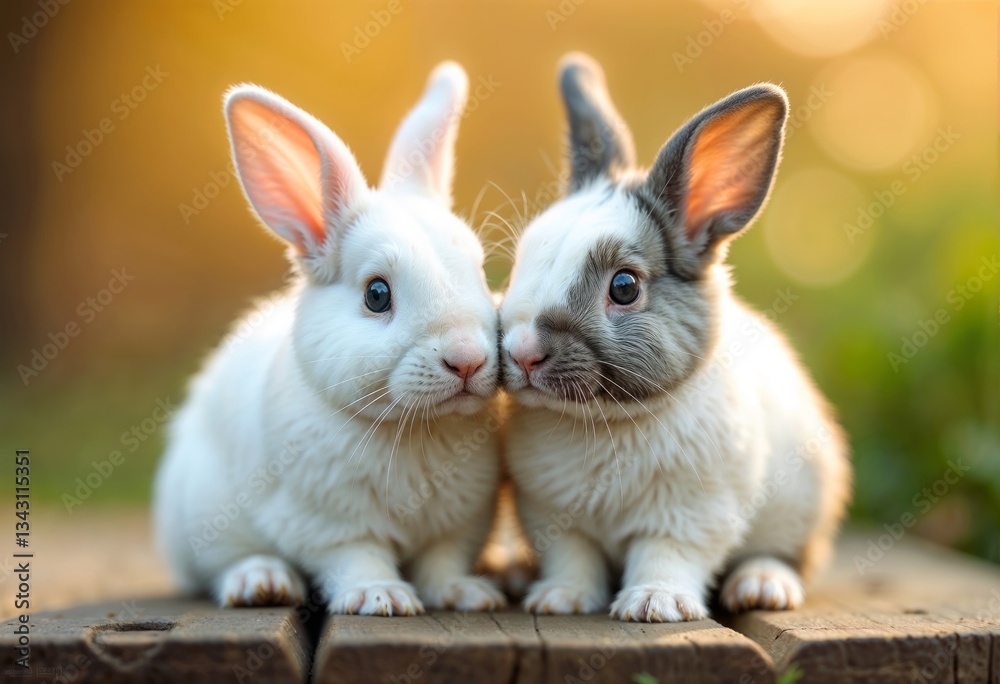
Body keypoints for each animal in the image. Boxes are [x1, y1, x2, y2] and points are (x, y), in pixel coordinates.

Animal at [153, 62, 507, 616]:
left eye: (478, 269)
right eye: (377, 294)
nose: (467, 360)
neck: (418, 429)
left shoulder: (459, 524)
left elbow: (442, 562)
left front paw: (466, 594)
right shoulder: (328, 526)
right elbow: (357, 557)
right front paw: (381, 597)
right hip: (204, 517)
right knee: (224, 565)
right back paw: (262, 582)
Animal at [499, 52, 851, 622]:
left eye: (624, 287)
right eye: (519, 263)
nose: (522, 353)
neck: (605, 423)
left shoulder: (691, 515)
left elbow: (666, 555)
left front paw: (654, 605)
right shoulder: (551, 514)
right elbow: (573, 557)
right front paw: (561, 600)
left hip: (801, 504)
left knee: (785, 556)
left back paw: (761, 587)